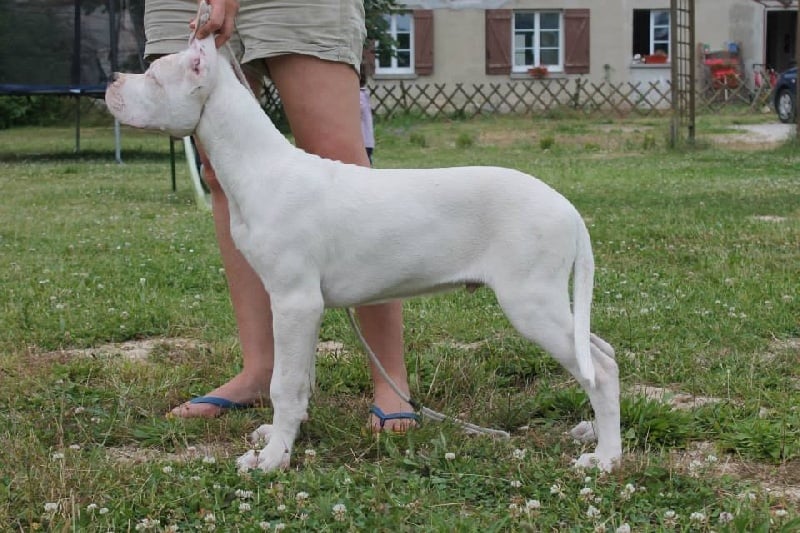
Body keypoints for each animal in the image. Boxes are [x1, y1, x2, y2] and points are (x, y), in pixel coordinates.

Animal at [105, 36, 622, 472]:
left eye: (154, 76)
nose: (111, 79)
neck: (260, 167)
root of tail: (567, 207)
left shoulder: (295, 301)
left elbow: (283, 383)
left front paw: (273, 460)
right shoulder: (299, 307)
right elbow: (299, 379)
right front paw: (281, 437)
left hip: (530, 300)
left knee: (597, 369)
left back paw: (606, 458)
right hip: (549, 302)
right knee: (601, 354)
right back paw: (593, 432)